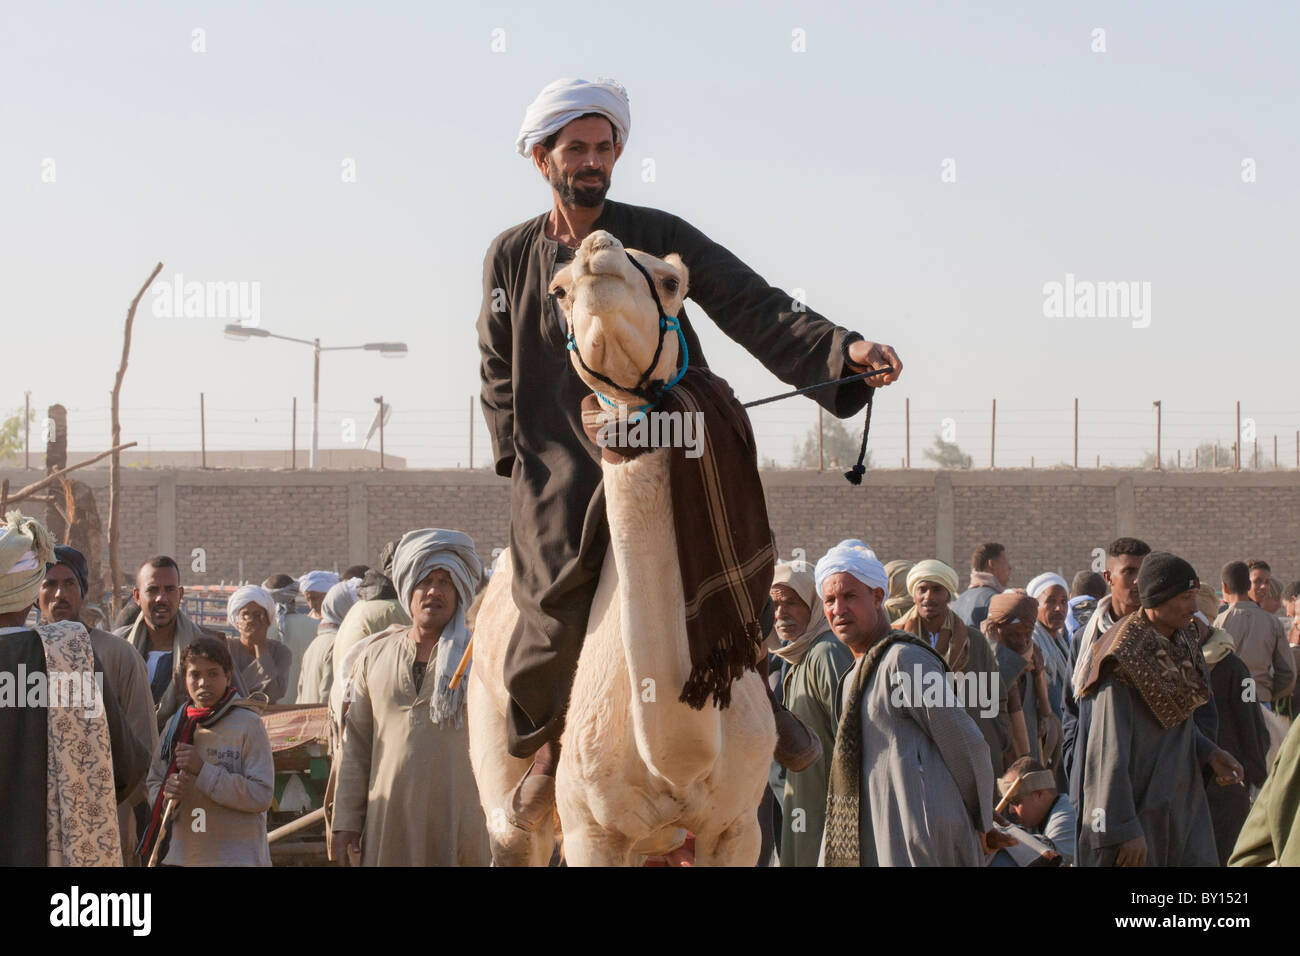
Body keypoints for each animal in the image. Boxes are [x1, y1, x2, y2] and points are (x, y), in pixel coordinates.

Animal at [465, 230, 769, 868]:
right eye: (557, 291)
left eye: (674, 282)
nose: (595, 247)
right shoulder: (594, 831)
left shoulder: (739, 827)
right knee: (513, 828)